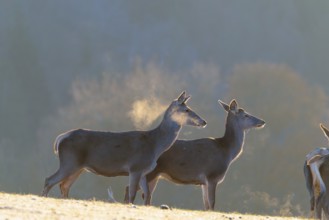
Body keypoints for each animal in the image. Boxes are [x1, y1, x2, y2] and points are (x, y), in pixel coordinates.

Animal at [41, 91, 205, 205]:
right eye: (187, 110)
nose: (203, 121)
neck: (155, 145)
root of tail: (60, 138)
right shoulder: (135, 167)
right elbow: (132, 194)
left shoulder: (144, 171)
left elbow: (147, 194)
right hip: (70, 161)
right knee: (49, 180)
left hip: (78, 167)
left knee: (64, 185)